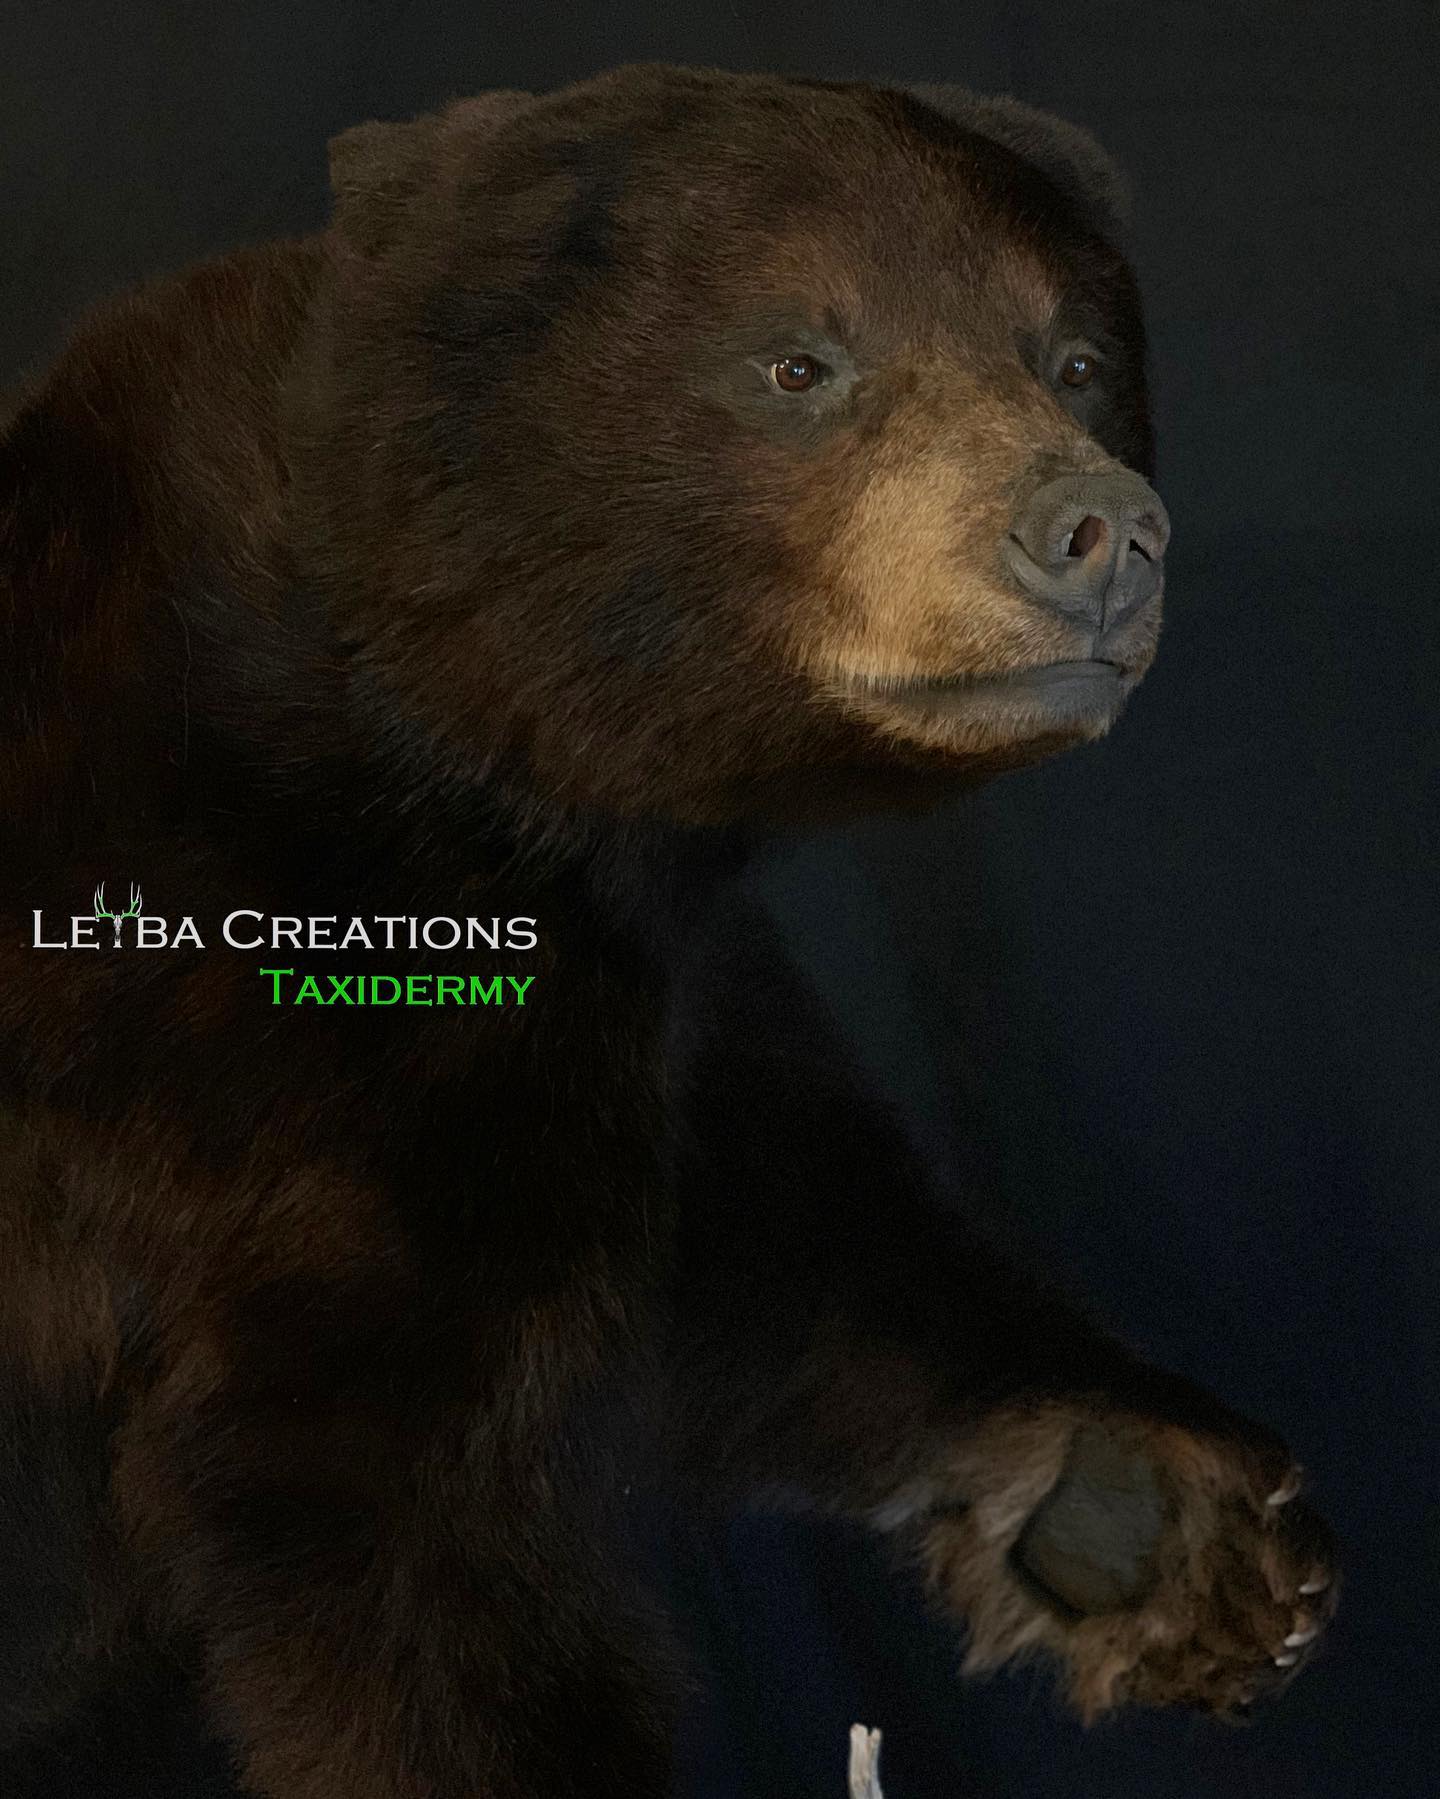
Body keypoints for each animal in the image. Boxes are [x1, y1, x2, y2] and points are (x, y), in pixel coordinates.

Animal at [0, 62, 1336, 1799]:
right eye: (798, 359)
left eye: (1076, 359)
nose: (1101, 529)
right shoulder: (240, 1042)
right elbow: (392, 1494)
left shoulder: (648, 979)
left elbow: (773, 1216)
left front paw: (1142, 1508)